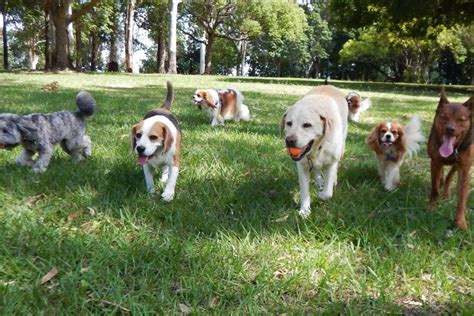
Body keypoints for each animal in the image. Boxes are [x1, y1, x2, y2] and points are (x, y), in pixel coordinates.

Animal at [282, 85, 348, 218]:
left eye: (307, 125)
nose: (289, 141)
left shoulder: (331, 163)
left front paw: (321, 194)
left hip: (342, 147)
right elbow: (304, 190)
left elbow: (328, 193)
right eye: (289, 123)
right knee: (317, 169)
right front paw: (305, 210)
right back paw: (319, 180)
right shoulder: (302, 166)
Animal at [428, 86, 472, 230]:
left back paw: (446, 191)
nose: (450, 129)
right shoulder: (435, 161)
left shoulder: (464, 168)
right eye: (443, 117)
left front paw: (460, 222)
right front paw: (432, 205)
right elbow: (434, 187)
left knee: (449, 175)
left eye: (461, 119)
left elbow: (462, 198)